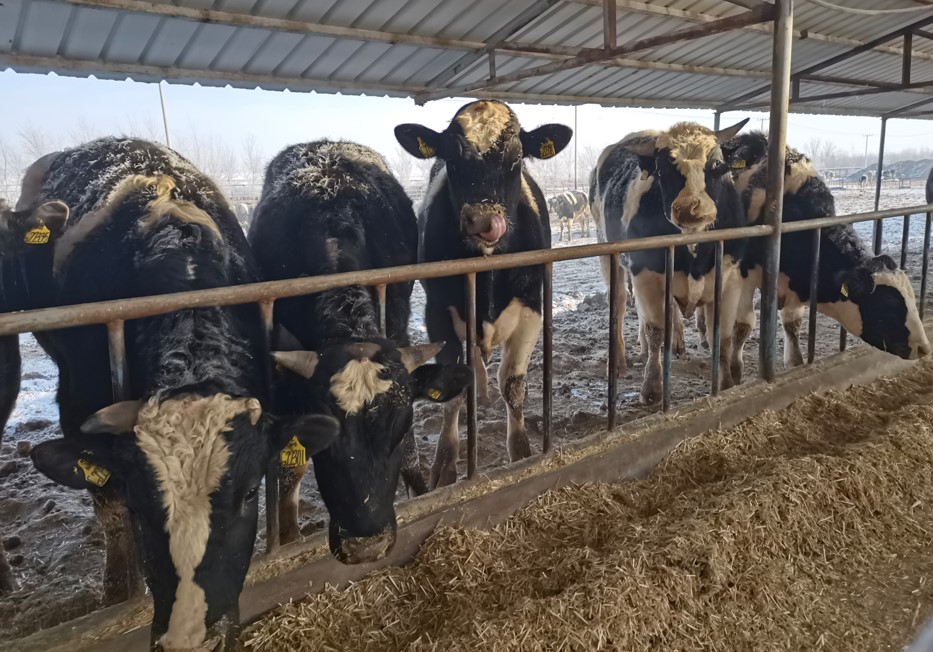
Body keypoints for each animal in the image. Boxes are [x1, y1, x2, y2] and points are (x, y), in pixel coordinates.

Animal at [1, 138, 341, 651]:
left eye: (248, 493)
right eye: (142, 505)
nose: (191, 637)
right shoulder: (77, 402)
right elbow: (110, 510)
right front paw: (117, 593)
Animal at [394, 100, 572, 488]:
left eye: (517, 158)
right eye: (452, 158)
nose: (483, 221)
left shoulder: (531, 309)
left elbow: (513, 385)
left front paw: (521, 452)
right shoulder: (437, 314)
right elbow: (453, 388)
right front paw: (444, 465)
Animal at [589, 120, 750, 404]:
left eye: (718, 165)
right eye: (663, 170)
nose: (690, 208)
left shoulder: (729, 279)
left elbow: (722, 335)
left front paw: (726, 383)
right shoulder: (646, 274)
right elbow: (655, 331)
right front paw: (652, 387)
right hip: (609, 254)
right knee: (619, 303)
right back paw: (619, 361)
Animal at [722, 131, 930, 367]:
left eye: (912, 297)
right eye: (888, 304)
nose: (924, 347)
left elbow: (792, 325)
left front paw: (796, 363)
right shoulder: (742, 276)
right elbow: (743, 326)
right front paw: (733, 372)